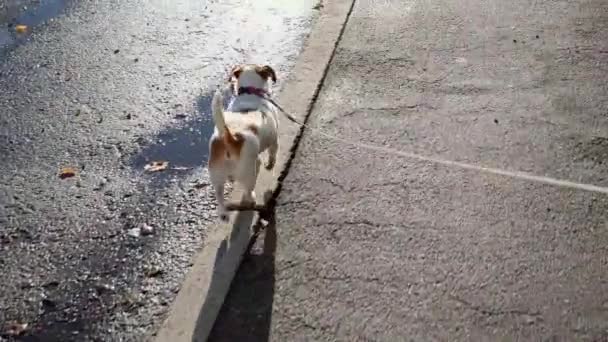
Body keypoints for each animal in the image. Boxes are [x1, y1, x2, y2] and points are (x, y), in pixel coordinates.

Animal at [207, 64, 278, 222]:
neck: (250, 92)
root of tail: (229, 137)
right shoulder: (274, 140)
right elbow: (272, 154)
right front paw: (270, 165)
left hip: (217, 176)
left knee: (219, 196)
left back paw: (224, 213)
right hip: (248, 173)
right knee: (248, 189)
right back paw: (251, 199)